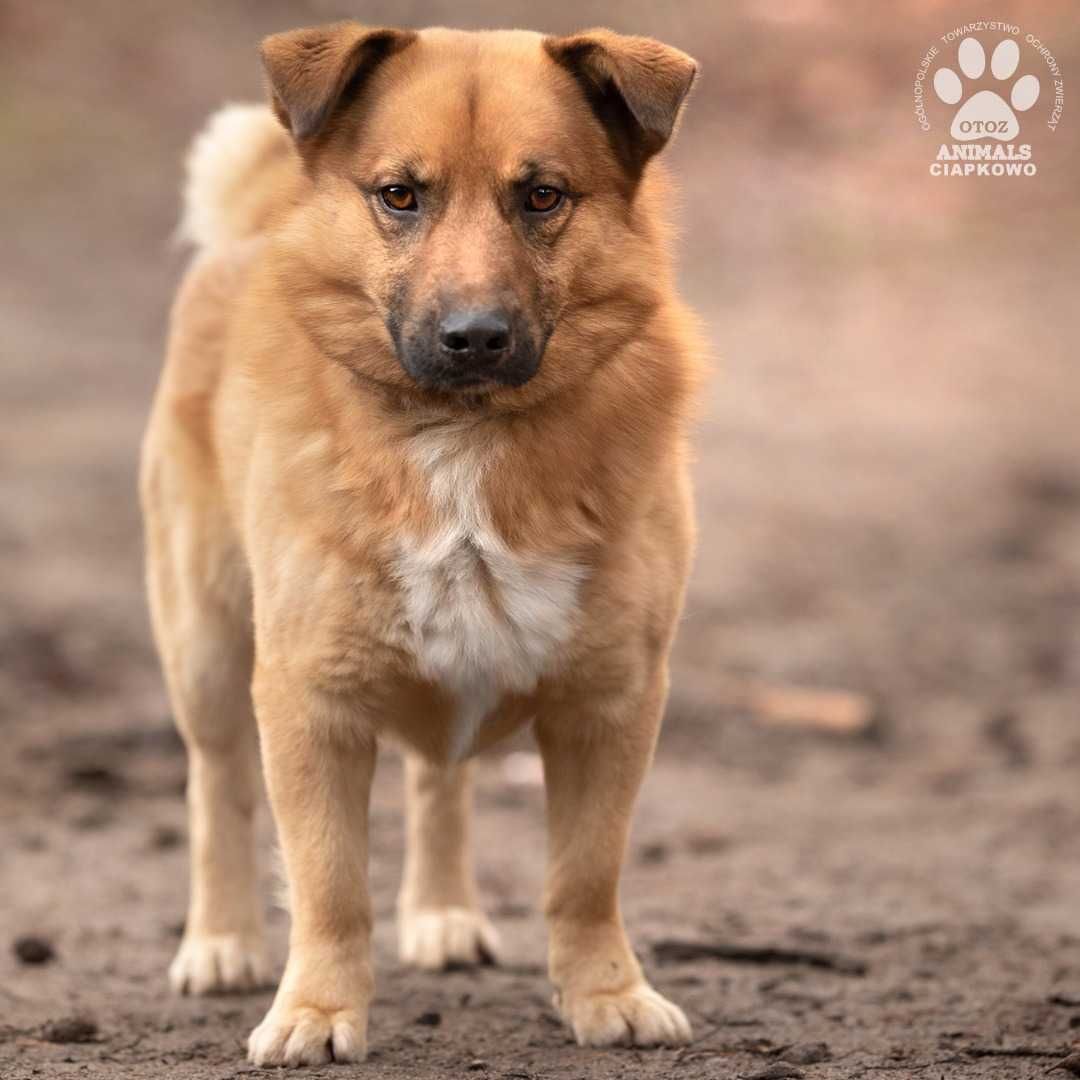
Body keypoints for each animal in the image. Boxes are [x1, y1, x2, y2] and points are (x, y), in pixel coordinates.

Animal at [139, 21, 699, 1067]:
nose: (474, 336)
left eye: (542, 195)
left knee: (441, 778)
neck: (465, 441)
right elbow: (328, 884)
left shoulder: (615, 701)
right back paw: (222, 941)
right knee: (217, 788)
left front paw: (606, 994)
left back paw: (441, 914)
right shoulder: (309, 699)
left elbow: (584, 876)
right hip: (203, 645)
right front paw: (317, 1011)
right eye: (400, 194)